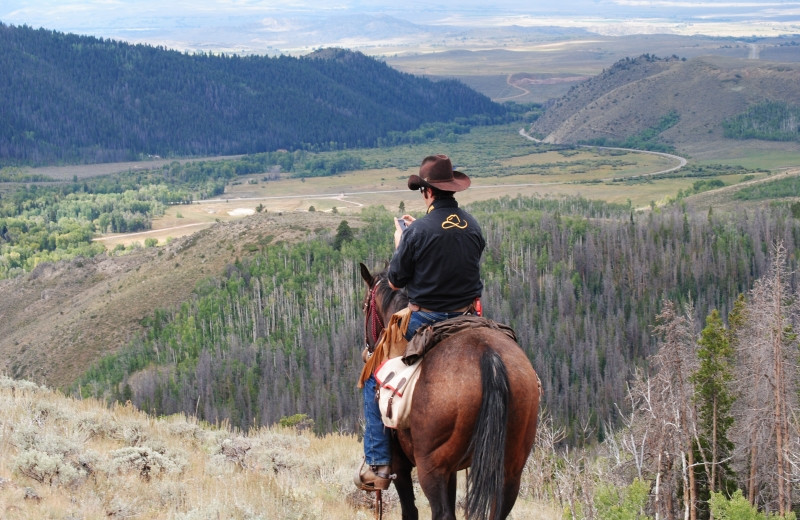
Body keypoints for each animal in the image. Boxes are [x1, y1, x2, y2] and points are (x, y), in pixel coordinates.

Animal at [360, 264, 540, 520]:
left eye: (364, 306)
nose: (367, 350)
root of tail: (489, 356)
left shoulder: (401, 465)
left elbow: (409, 510)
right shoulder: (452, 470)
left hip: (431, 467)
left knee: (441, 512)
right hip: (510, 467)